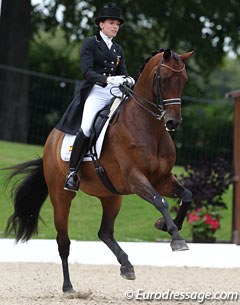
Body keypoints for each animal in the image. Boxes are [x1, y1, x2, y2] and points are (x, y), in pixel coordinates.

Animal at [4, 48, 193, 290]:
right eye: (165, 79)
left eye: (184, 80)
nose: (173, 122)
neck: (149, 128)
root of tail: (51, 140)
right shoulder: (135, 178)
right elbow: (160, 201)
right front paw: (176, 239)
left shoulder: (162, 179)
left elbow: (187, 195)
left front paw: (165, 225)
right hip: (61, 197)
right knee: (63, 241)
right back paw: (68, 286)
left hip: (111, 196)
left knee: (104, 232)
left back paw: (126, 266)